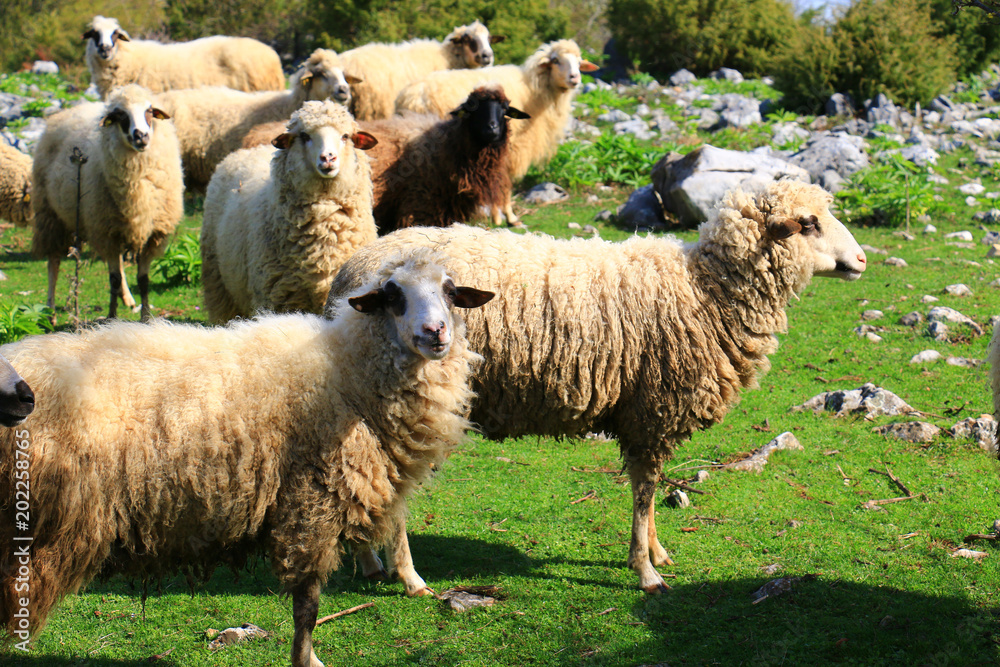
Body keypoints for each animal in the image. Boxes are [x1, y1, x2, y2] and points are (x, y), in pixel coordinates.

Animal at [0, 252, 495, 666]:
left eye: (450, 292)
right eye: (392, 296)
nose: (436, 333)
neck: (347, 371)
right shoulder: (310, 503)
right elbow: (308, 605)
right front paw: (307, 660)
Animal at [31, 84, 183, 321]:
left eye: (149, 111)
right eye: (120, 115)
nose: (141, 136)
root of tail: (69, 110)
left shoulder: (152, 235)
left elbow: (143, 280)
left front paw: (146, 317)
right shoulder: (105, 232)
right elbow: (113, 279)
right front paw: (111, 316)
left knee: (118, 266)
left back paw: (128, 299)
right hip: (50, 215)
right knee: (53, 264)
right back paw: (51, 313)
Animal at [201, 100, 378, 323]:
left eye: (345, 136)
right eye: (304, 136)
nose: (328, 158)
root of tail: (245, 151)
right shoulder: (279, 301)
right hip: (218, 282)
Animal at [327, 180, 869, 594]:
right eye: (808, 223)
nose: (862, 260)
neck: (707, 291)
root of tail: (350, 273)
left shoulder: (648, 413)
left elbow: (649, 486)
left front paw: (656, 551)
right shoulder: (653, 408)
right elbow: (645, 491)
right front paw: (645, 571)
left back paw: (370, 563)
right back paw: (407, 575)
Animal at [394, 39, 598, 224]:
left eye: (579, 62)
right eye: (556, 61)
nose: (575, 78)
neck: (536, 91)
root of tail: (413, 97)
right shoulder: (512, 149)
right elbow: (504, 184)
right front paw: (506, 216)